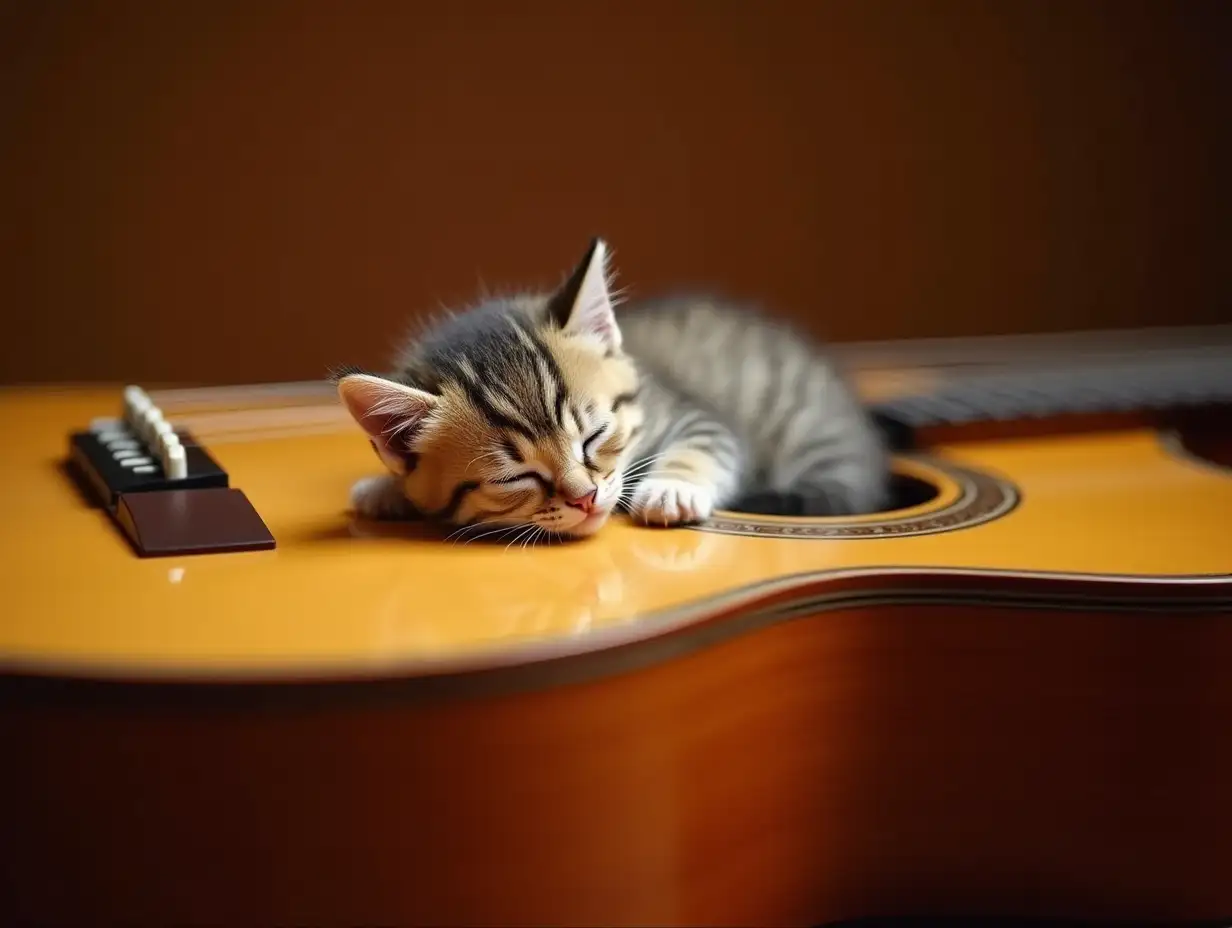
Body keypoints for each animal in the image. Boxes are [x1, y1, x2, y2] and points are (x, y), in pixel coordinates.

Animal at [335, 239, 887, 539]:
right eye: (516, 476)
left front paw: (673, 487)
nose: (586, 499)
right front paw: (386, 487)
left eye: (595, 436)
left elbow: (708, 439)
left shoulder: (686, 410)